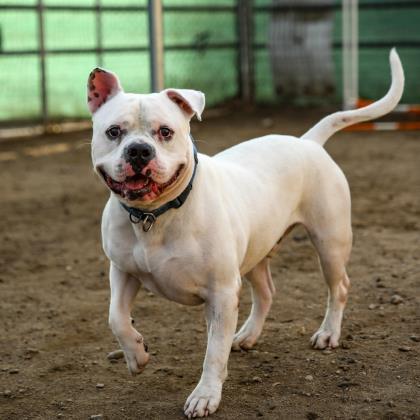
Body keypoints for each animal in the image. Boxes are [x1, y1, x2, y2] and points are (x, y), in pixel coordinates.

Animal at [88, 49, 404, 416]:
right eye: (113, 131)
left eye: (165, 132)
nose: (139, 150)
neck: (155, 216)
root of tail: (307, 142)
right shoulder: (123, 271)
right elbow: (117, 318)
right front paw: (137, 355)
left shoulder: (222, 293)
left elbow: (213, 352)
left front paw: (205, 395)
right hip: (256, 251)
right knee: (266, 292)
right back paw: (247, 335)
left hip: (330, 244)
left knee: (338, 288)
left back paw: (327, 334)